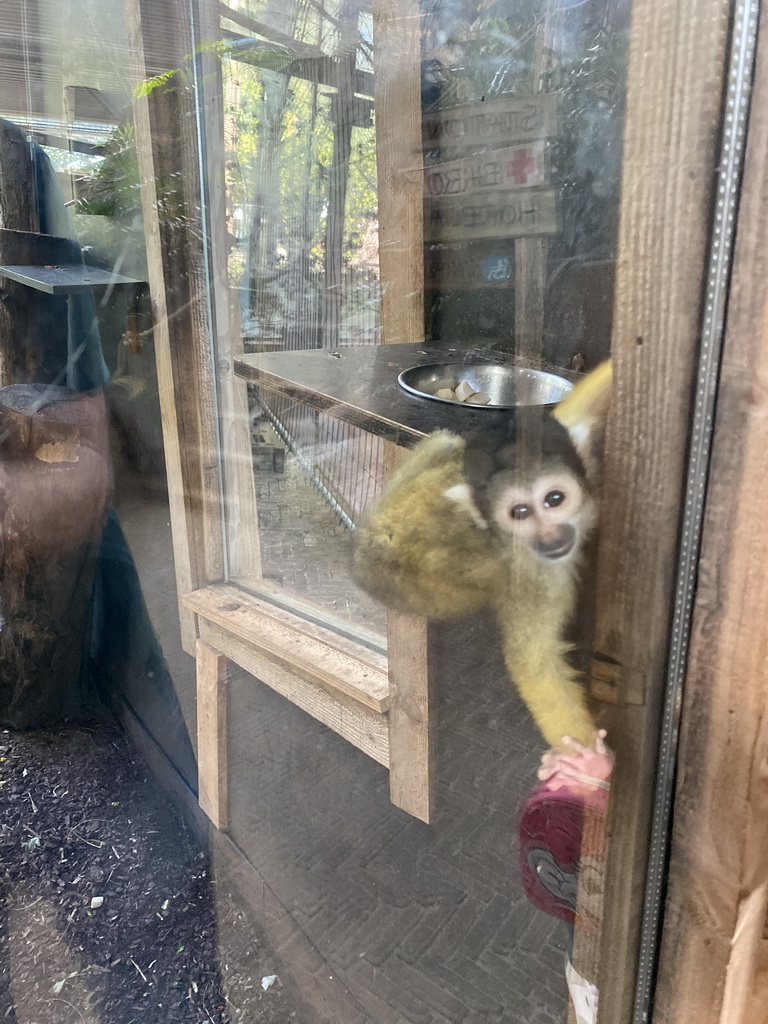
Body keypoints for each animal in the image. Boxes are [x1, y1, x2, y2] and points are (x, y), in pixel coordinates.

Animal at [354, 360, 614, 745]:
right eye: (520, 513)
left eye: (554, 499)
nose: (551, 536)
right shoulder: (534, 575)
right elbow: (535, 665)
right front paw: (589, 759)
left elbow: (571, 411)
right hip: (408, 587)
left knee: (449, 442)